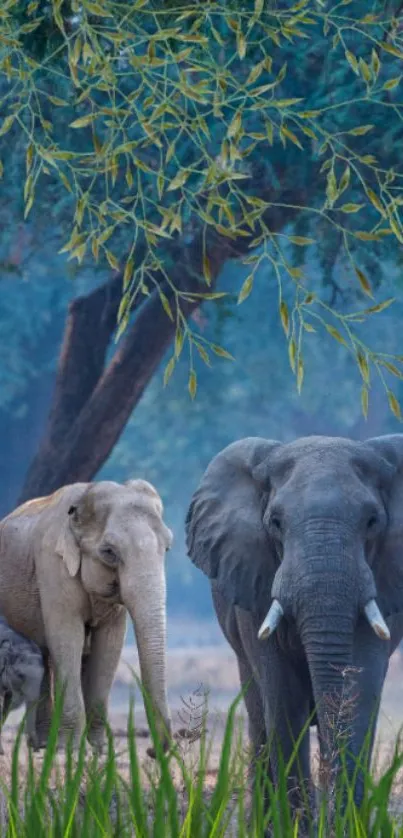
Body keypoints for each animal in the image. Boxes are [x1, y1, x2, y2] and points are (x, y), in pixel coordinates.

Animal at [187, 436, 403, 816]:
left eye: (372, 521)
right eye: (275, 522)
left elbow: (358, 696)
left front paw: (347, 823)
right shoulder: (255, 581)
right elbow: (284, 704)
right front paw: (298, 822)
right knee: (260, 721)